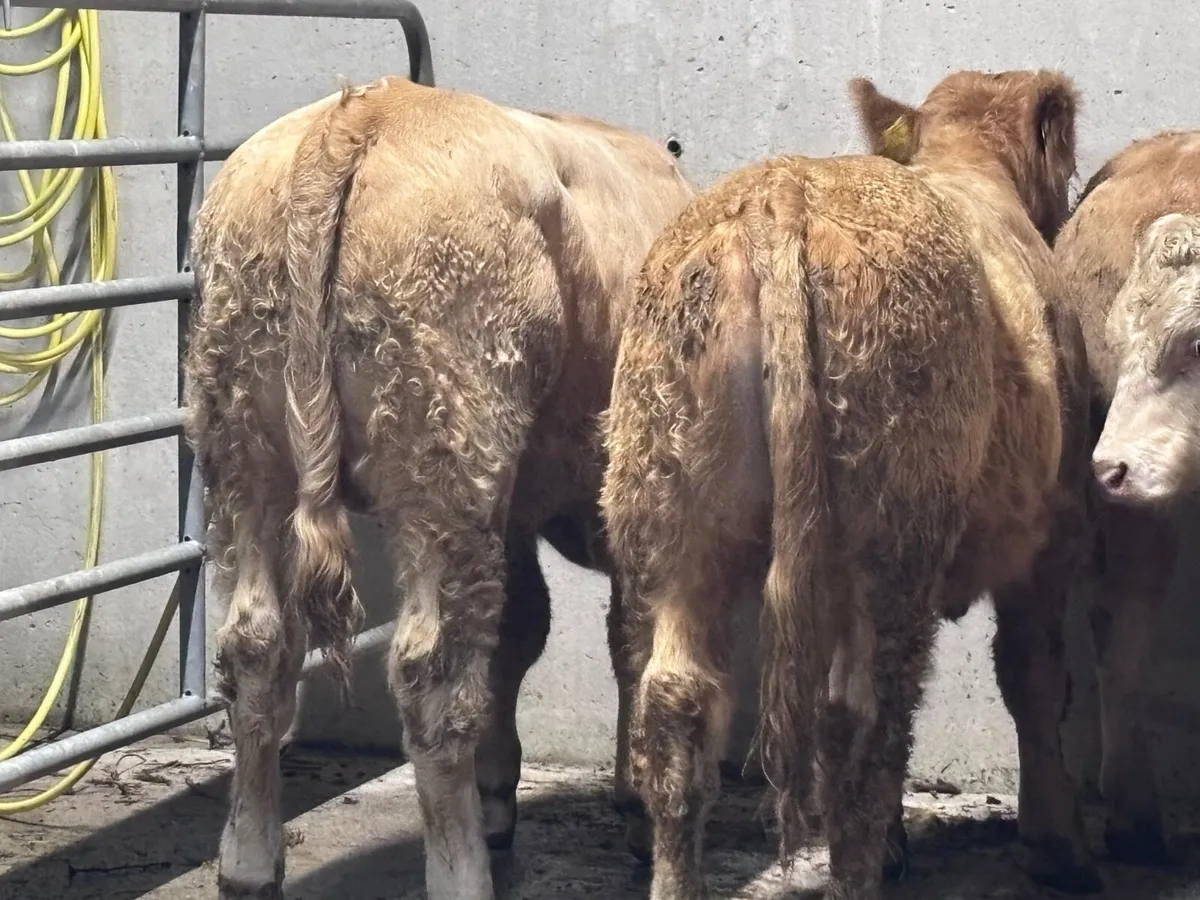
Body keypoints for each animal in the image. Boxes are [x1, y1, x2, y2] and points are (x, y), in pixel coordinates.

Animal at [182, 76, 695, 900]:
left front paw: (502, 792)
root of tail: (364, 108)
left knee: (257, 644)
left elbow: (525, 630)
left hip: (243, 447)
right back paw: (463, 872)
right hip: (448, 461)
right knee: (433, 672)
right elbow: (629, 644)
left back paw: (249, 862)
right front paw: (638, 812)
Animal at [598, 69, 1095, 900]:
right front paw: (1059, 847)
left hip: (670, 503)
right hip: (890, 531)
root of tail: (781, 194)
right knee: (860, 714)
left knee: (676, 702)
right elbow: (1033, 674)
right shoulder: (1052, 526)